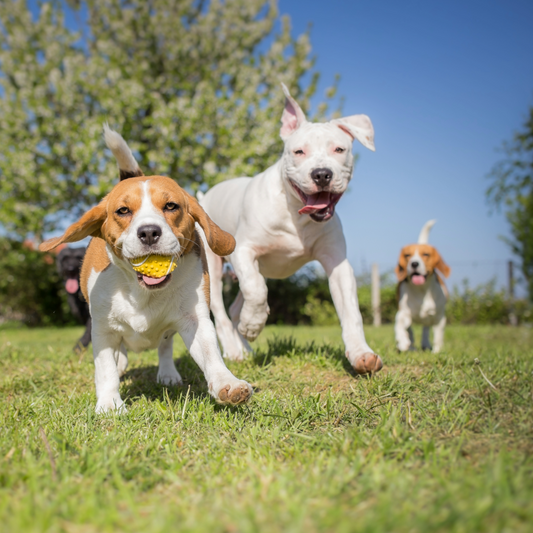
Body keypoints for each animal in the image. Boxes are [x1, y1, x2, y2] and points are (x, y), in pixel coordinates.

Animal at [39, 128, 251, 412]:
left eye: (171, 206)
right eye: (123, 210)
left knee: (165, 346)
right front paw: (109, 404)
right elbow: (105, 368)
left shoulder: (195, 318)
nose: (149, 232)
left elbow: (211, 355)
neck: (141, 290)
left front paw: (227, 384)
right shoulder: (102, 328)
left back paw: (168, 373)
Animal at [201, 84, 382, 374]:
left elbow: (351, 312)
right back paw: (234, 350)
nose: (322, 174)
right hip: (215, 265)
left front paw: (360, 353)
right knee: (221, 309)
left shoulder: (337, 264)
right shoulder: (244, 250)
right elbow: (256, 290)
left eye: (339, 149)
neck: (297, 216)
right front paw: (254, 324)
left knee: (236, 307)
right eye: (299, 152)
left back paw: (246, 347)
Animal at [394, 218, 448, 352]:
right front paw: (402, 341)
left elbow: (438, 335)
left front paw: (437, 351)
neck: (421, 290)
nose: (414, 264)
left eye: (426, 254)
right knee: (411, 331)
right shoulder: (403, 312)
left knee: (426, 328)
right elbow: (400, 325)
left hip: (429, 317)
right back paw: (411, 346)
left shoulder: (440, 317)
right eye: (407, 255)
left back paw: (425, 344)